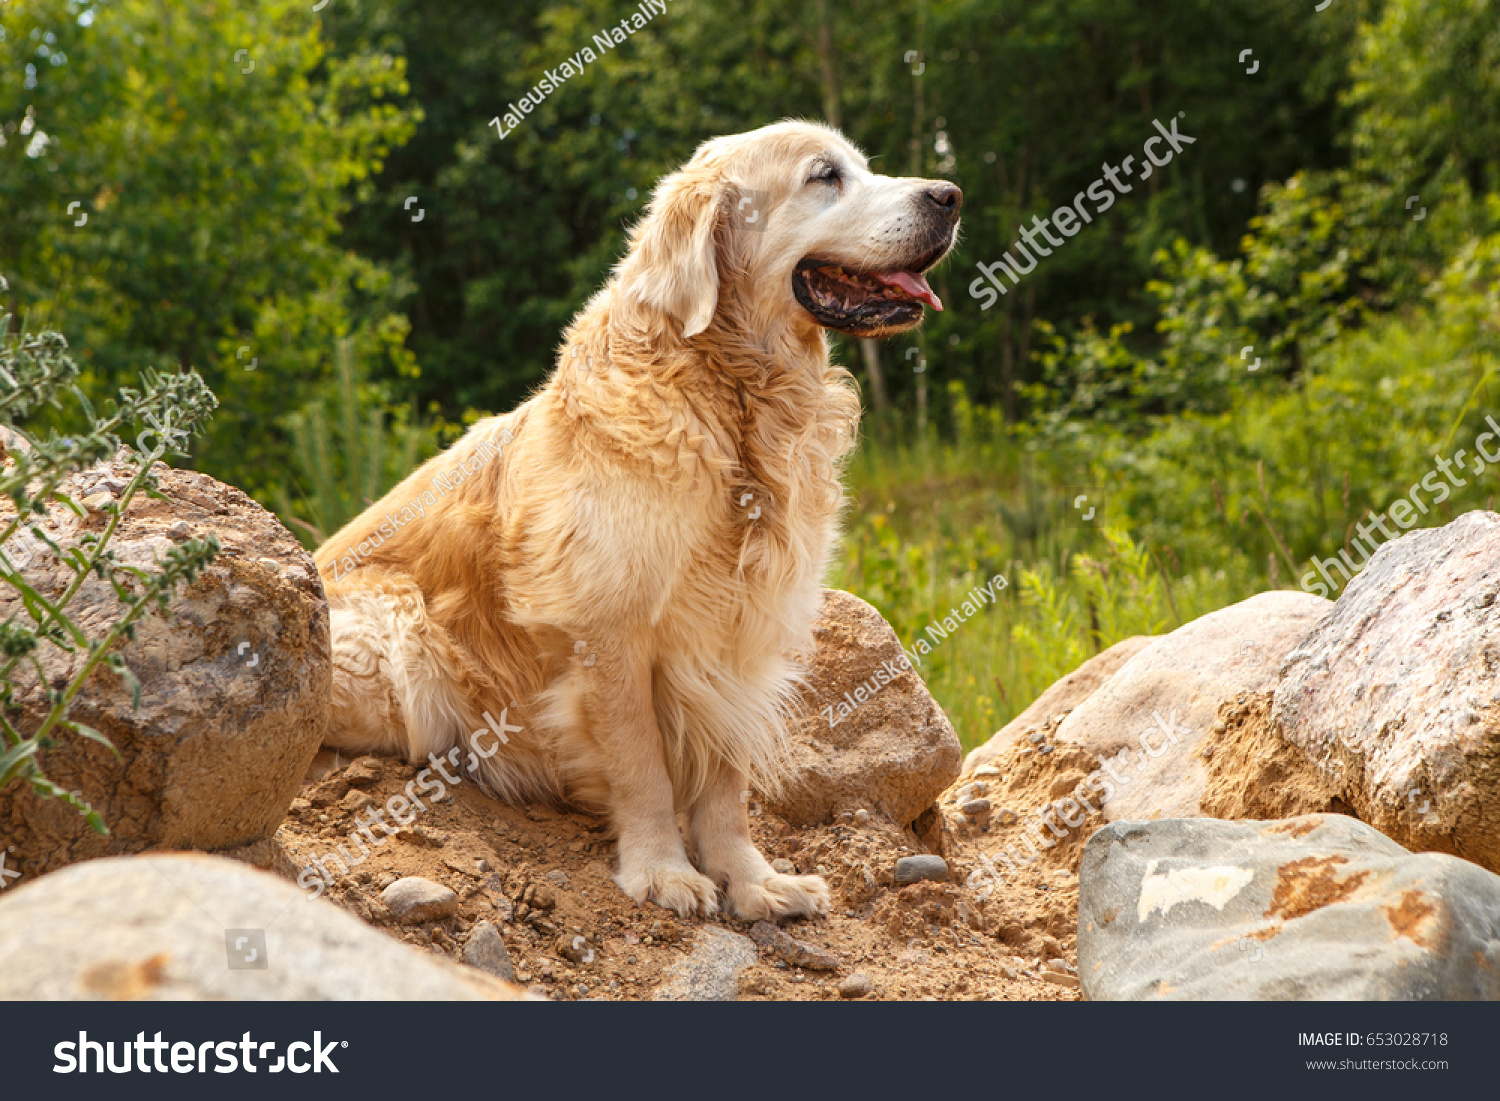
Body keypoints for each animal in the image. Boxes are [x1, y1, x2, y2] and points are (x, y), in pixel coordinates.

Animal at [315, 120, 960, 924]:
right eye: (824, 176)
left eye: (864, 166)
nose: (951, 195)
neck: (732, 403)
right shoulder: (608, 629)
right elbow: (642, 764)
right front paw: (661, 870)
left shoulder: (737, 630)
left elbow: (725, 780)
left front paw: (753, 880)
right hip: (396, 640)